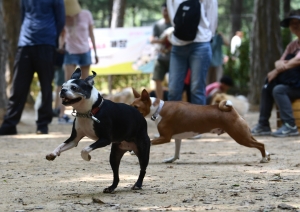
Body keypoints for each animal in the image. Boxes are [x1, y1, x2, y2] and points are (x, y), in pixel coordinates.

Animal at [131, 88, 270, 163]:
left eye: (136, 107)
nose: (128, 111)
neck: (159, 109)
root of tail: (232, 110)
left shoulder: (165, 137)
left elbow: (149, 141)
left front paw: (133, 151)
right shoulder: (177, 138)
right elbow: (176, 153)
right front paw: (171, 160)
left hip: (240, 137)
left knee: (260, 145)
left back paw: (263, 158)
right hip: (245, 134)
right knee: (260, 143)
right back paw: (267, 155)